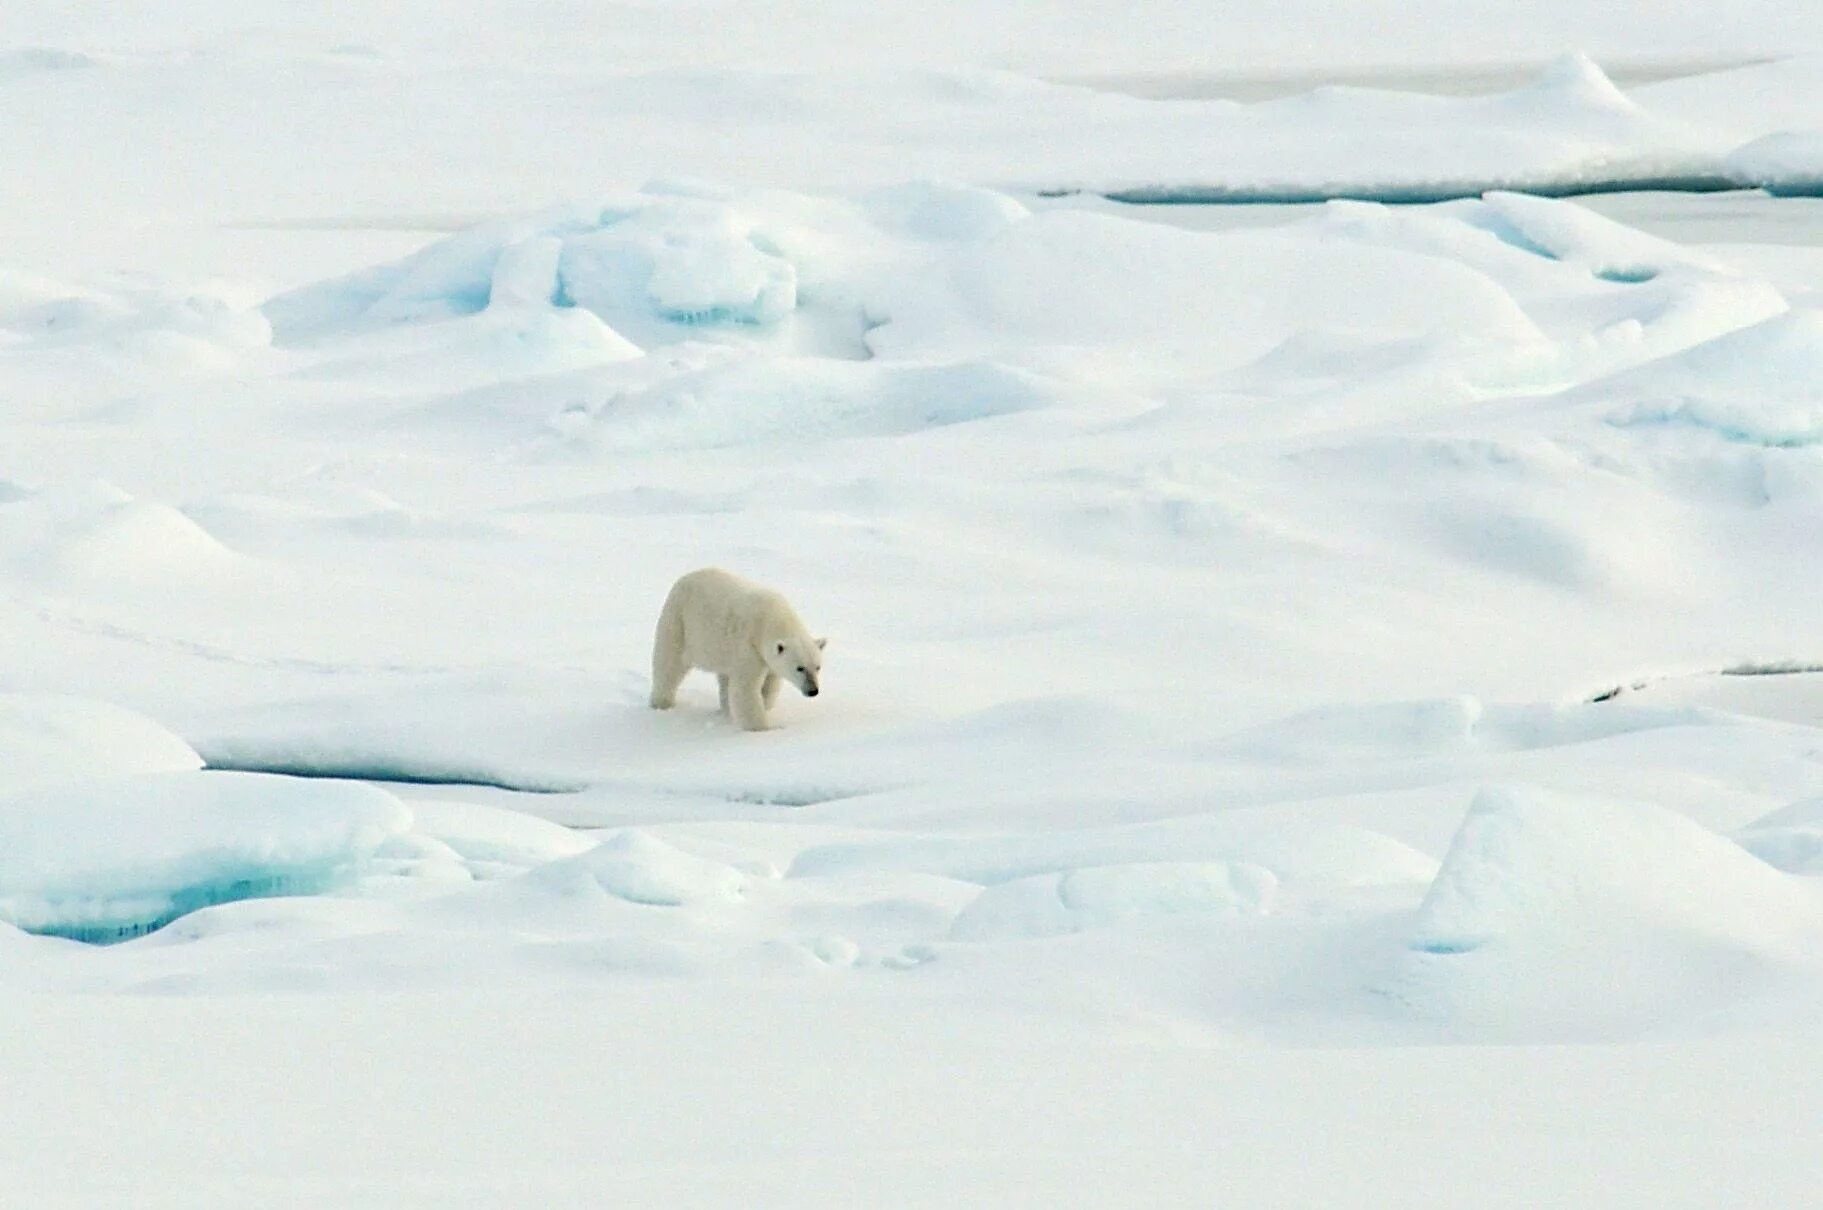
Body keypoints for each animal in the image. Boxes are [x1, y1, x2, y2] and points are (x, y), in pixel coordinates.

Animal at [648, 568, 827, 728]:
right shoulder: (748, 647)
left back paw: (725, 711)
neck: (771, 619)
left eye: (817, 667)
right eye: (800, 668)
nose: (813, 691)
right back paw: (662, 703)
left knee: (724, 678)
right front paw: (761, 728)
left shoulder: (767, 660)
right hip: (680, 623)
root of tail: (683, 579)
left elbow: (771, 684)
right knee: (669, 666)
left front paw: (764, 705)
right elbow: (745, 689)